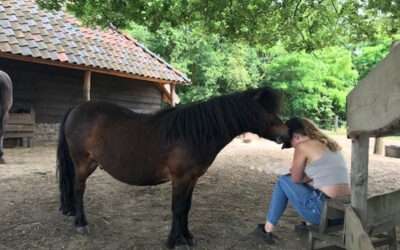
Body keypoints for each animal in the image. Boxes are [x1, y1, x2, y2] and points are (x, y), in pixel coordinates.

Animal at [57, 86, 288, 248]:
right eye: (267, 110)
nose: (286, 133)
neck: (196, 133)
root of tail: (76, 109)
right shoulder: (181, 179)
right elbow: (177, 208)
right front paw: (176, 242)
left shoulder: (192, 179)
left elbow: (186, 208)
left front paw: (187, 236)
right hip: (83, 163)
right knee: (78, 189)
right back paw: (81, 223)